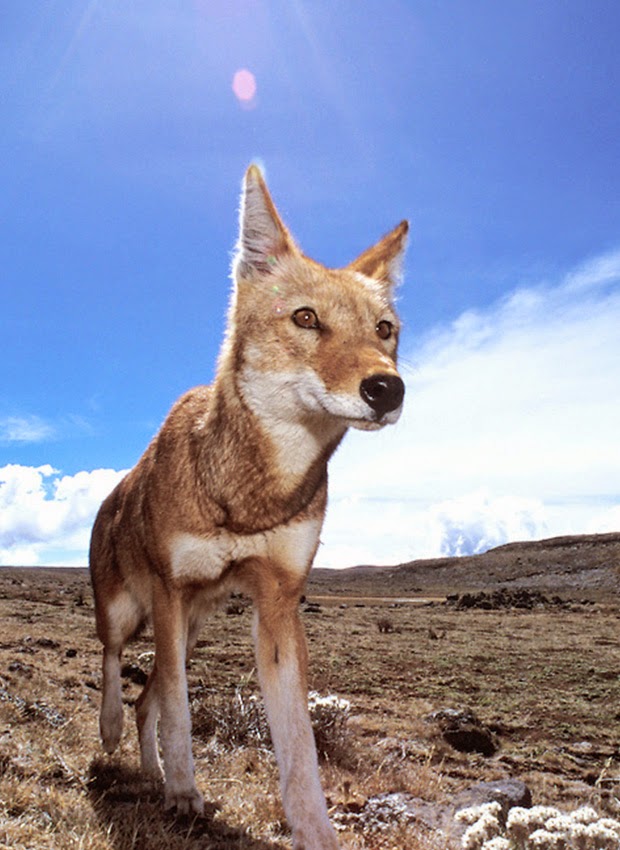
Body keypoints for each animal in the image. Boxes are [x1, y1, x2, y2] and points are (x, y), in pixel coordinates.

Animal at [89, 165, 408, 850]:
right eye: (306, 318)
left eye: (384, 330)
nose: (387, 388)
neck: (252, 494)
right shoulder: (170, 591)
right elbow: (181, 714)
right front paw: (186, 793)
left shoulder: (279, 603)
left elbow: (298, 745)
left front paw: (315, 830)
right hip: (129, 612)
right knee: (118, 670)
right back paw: (114, 738)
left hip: (191, 628)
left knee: (150, 697)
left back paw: (150, 773)